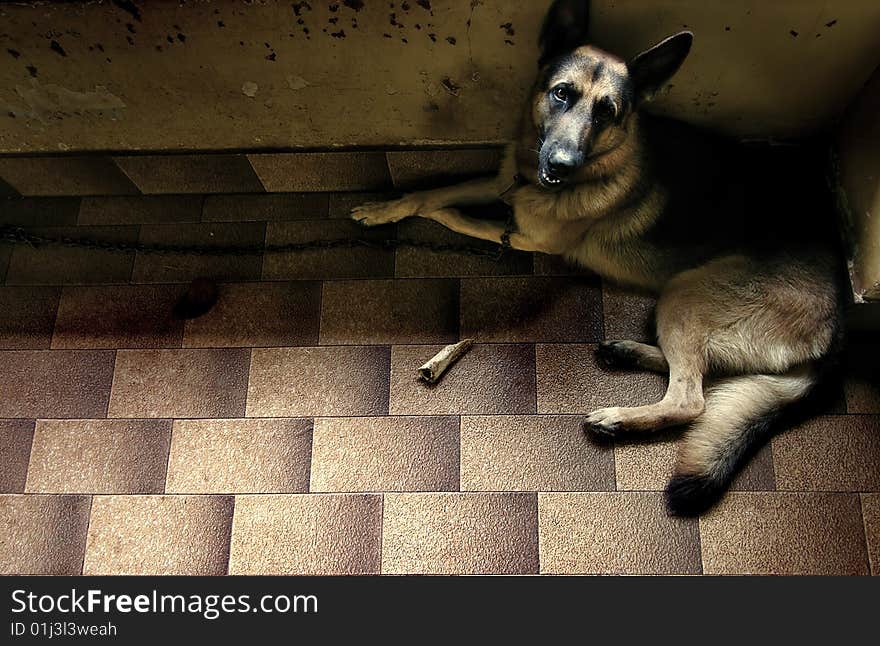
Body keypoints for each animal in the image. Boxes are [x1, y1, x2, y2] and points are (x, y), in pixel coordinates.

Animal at [350, 0, 844, 516]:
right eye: (562, 94)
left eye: (608, 111)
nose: (560, 165)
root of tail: (839, 325)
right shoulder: (505, 182)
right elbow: (434, 190)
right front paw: (386, 208)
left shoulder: (526, 235)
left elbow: (455, 214)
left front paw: (433, 214)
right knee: (705, 371)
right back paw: (626, 351)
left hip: (687, 293)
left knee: (692, 398)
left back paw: (619, 419)